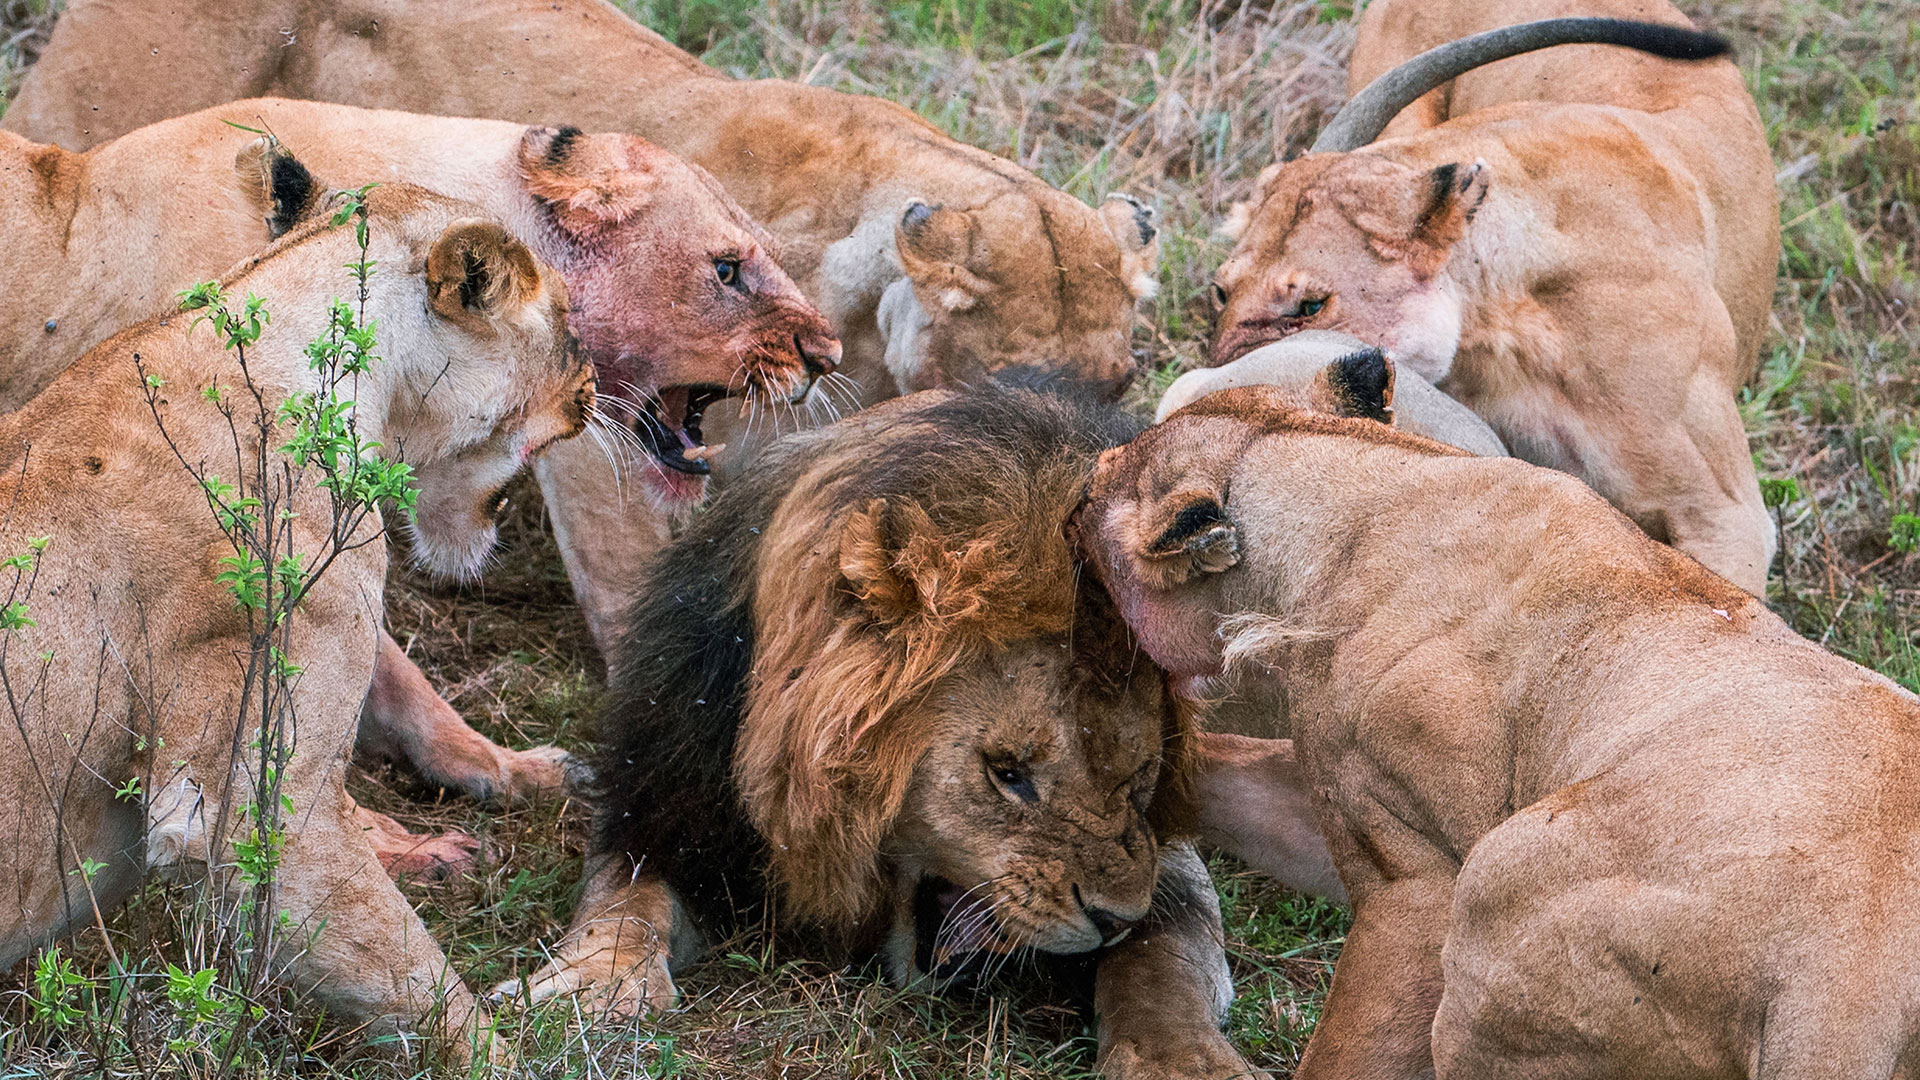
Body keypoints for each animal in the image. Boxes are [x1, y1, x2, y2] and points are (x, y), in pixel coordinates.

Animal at [503, 386, 1267, 1076]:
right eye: (1006, 773)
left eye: (1138, 780)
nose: (1112, 919)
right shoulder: (663, 797)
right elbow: (624, 898)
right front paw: (594, 986)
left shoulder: (1163, 855)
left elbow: (1164, 949)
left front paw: (1183, 1059)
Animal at [1082, 382, 1920, 1068]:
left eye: (1090, 497)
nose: (1081, 476)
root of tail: (1847, 988)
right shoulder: (1333, 809)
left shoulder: (1418, 881)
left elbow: (1351, 1050)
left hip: (1493, 905)